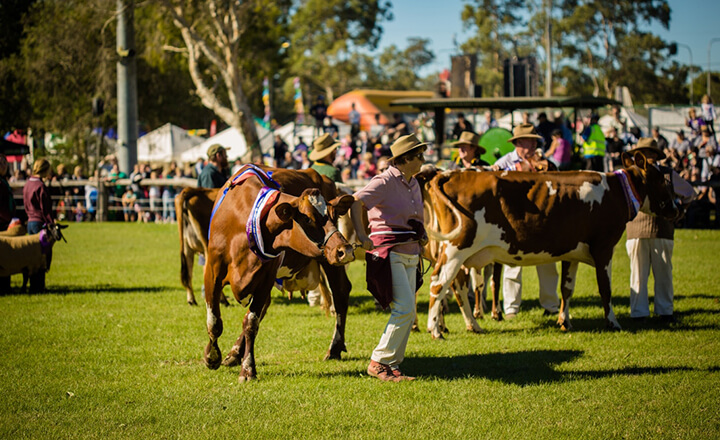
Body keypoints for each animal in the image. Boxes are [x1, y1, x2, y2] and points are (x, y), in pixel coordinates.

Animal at [420, 153, 676, 338]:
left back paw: (470, 326)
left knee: (456, 286)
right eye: (661, 179)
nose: (678, 208)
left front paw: (565, 321)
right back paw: (435, 330)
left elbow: (566, 288)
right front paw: (613, 323)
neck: (616, 191)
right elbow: (606, 288)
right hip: (456, 248)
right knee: (439, 282)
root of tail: (449, 173)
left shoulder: (571, 252)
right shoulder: (604, 247)